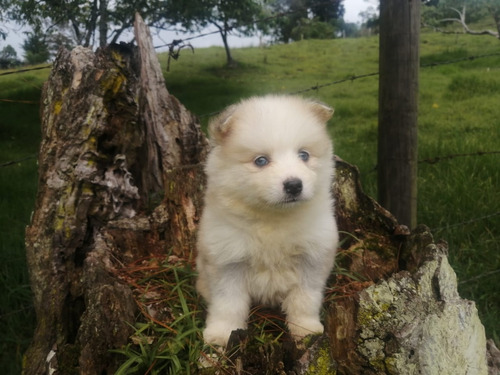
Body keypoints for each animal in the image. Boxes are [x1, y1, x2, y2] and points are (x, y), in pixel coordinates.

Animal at [195, 95, 340, 348]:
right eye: (261, 161)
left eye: (304, 155)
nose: (294, 185)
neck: (272, 219)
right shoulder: (227, 261)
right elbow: (227, 303)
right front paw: (222, 334)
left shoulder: (312, 258)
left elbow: (305, 297)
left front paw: (305, 329)